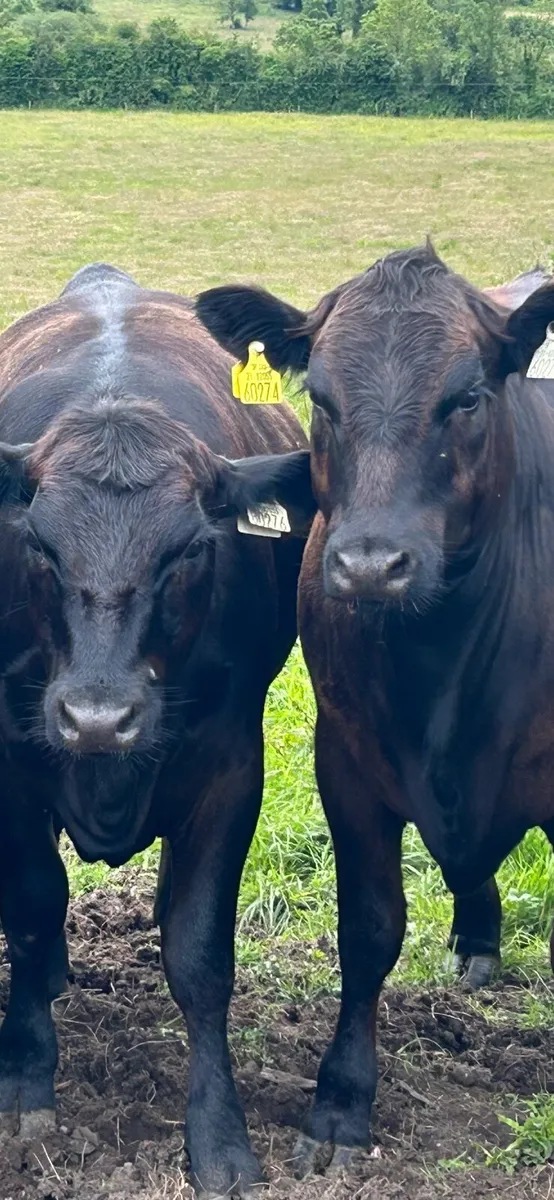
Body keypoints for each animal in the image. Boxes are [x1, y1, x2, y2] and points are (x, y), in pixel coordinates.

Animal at [0, 263, 314, 1199]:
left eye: (189, 550)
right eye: (39, 546)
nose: (98, 717)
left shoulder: (231, 766)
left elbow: (199, 952)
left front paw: (219, 1137)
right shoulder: (10, 753)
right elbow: (34, 904)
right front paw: (26, 1080)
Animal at [196, 246, 554, 1177]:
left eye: (468, 396)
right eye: (320, 398)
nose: (369, 564)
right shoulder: (348, 763)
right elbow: (370, 929)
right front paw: (340, 1102)